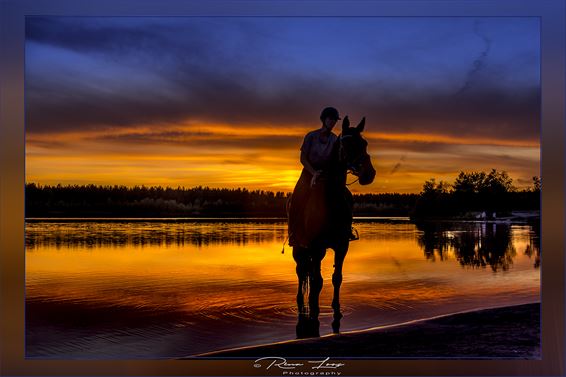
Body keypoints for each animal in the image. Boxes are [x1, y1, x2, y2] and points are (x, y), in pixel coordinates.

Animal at [288, 115, 378, 334]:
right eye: (347, 144)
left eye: (364, 143)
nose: (369, 174)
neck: (330, 203)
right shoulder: (316, 247)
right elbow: (317, 280)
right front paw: (314, 310)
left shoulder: (341, 246)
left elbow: (336, 277)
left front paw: (336, 308)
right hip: (299, 249)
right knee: (301, 272)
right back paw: (301, 302)